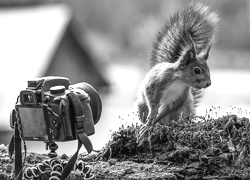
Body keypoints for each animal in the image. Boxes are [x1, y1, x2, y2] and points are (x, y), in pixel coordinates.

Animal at [136, 3, 220, 141]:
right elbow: (152, 102)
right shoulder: (155, 85)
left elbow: (168, 108)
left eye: (208, 69)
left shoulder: (179, 97)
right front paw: (150, 122)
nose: (208, 83)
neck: (179, 81)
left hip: (186, 106)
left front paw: (153, 122)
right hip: (141, 106)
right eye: (197, 70)